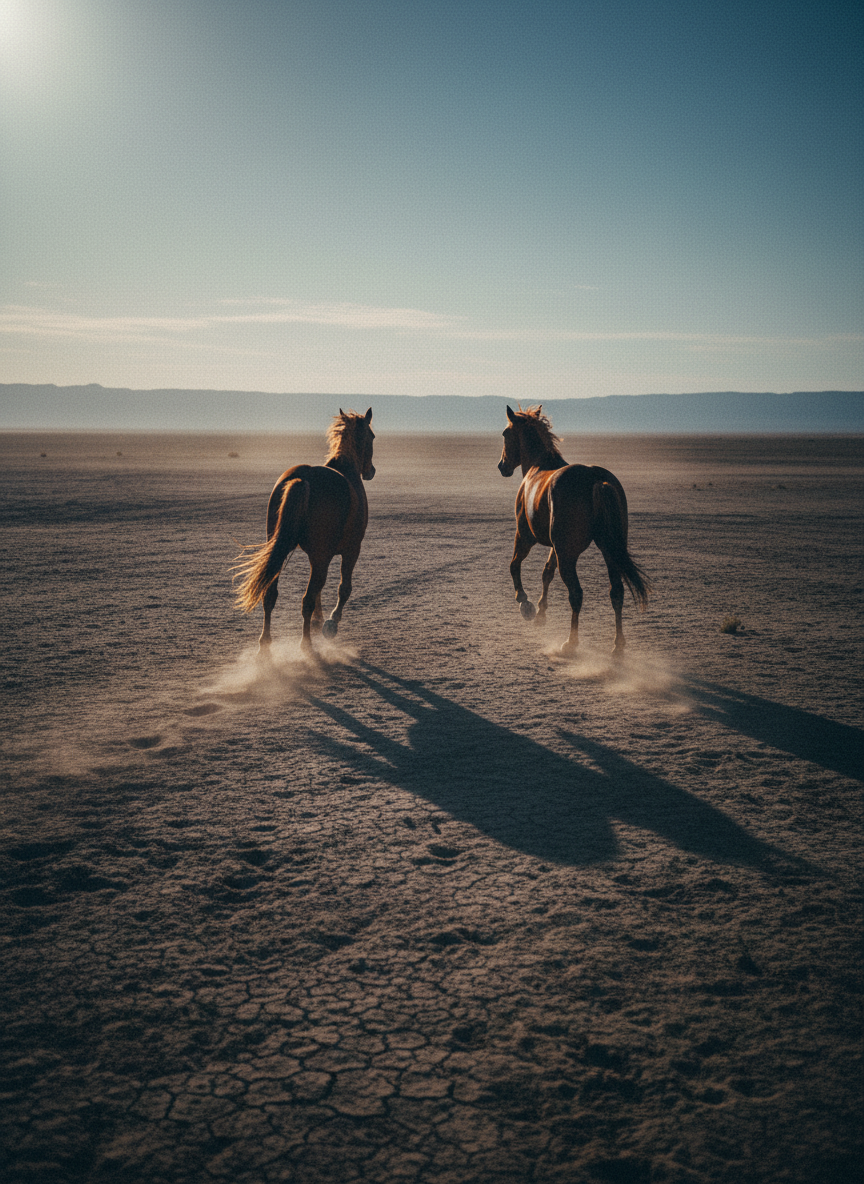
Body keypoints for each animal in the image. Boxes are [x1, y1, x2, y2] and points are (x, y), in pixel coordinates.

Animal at [234, 408, 375, 650]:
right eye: (372, 437)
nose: (371, 471)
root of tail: (303, 478)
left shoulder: (316, 555)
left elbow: (319, 591)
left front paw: (320, 620)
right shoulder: (351, 550)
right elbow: (344, 588)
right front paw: (331, 624)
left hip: (280, 548)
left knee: (271, 593)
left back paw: (265, 644)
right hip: (323, 555)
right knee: (306, 598)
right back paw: (306, 645)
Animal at [498, 404, 649, 656]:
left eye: (505, 434)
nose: (502, 466)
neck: (538, 466)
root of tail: (596, 480)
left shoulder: (525, 536)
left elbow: (514, 565)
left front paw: (525, 604)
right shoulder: (555, 547)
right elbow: (546, 572)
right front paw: (541, 614)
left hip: (568, 555)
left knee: (576, 594)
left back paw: (571, 642)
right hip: (607, 550)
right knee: (616, 592)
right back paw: (617, 646)